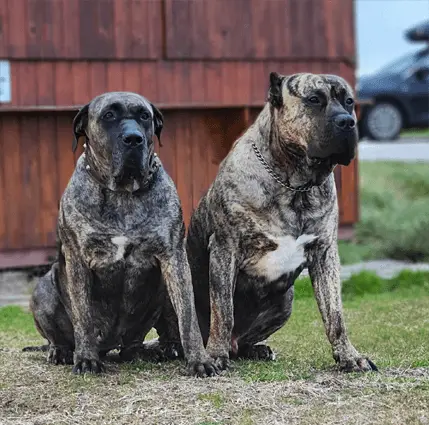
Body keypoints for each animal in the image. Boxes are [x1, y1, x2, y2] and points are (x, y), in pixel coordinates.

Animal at [27, 91, 217, 376]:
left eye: (144, 116)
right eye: (109, 115)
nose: (134, 138)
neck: (123, 194)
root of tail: (112, 344)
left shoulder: (174, 258)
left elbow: (188, 316)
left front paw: (199, 360)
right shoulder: (77, 260)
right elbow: (83, 316)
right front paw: (86, 359)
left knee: (143, 338)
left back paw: (157, 350)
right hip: (43, 289)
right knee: (58, 335)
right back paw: (62, 351)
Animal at [176, 72, 376, 372]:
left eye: (349, 101)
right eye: (314, 99)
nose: (347, 122)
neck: (295, 185)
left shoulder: (325, 253)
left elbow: (335, 315)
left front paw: (349, 356)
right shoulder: (224, 249)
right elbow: (223, 312)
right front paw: (215, 355)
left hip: (286, 301)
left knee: (243, 342)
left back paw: (255, 349)